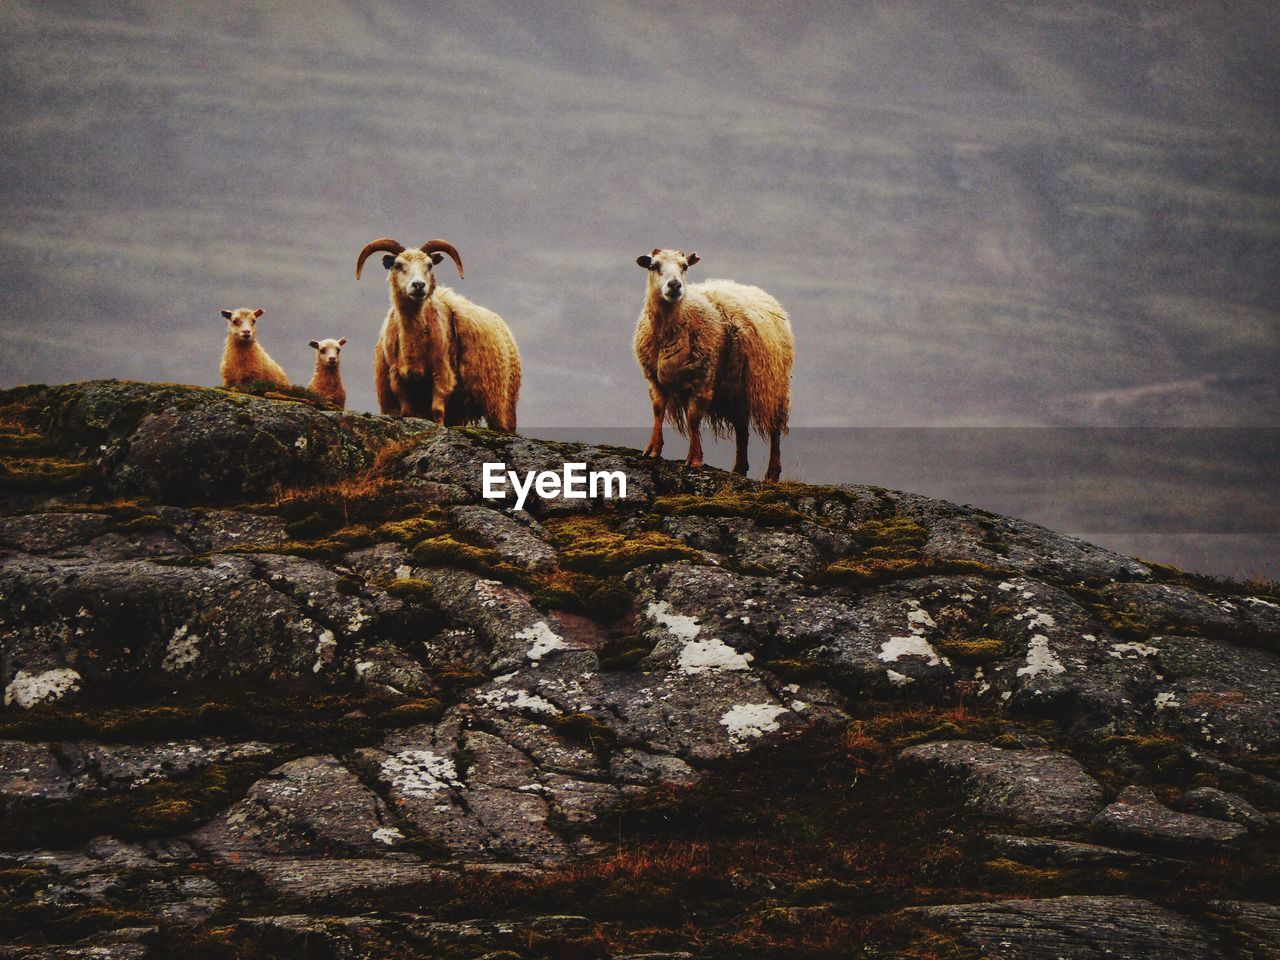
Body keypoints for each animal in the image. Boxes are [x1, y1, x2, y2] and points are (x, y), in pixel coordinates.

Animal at [355, 236, 519, 432]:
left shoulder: (442, 372)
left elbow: (438, 410)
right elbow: (407, 411)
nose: (419, 285)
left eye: (429, 265)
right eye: (397, 265)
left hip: (501, 401)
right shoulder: (397, 377)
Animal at [629, 249, 788, 481]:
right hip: (737, 390)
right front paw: (652, 450)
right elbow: (658, 410)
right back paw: (739, 468)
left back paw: (772, 473)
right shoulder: (654, 380)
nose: (675, 285)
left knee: (775, 428)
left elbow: (693, 419)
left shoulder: (702, 381)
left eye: (685, 266)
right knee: (742, 428)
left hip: (774, 386)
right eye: (654, 266)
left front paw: (694, 459)